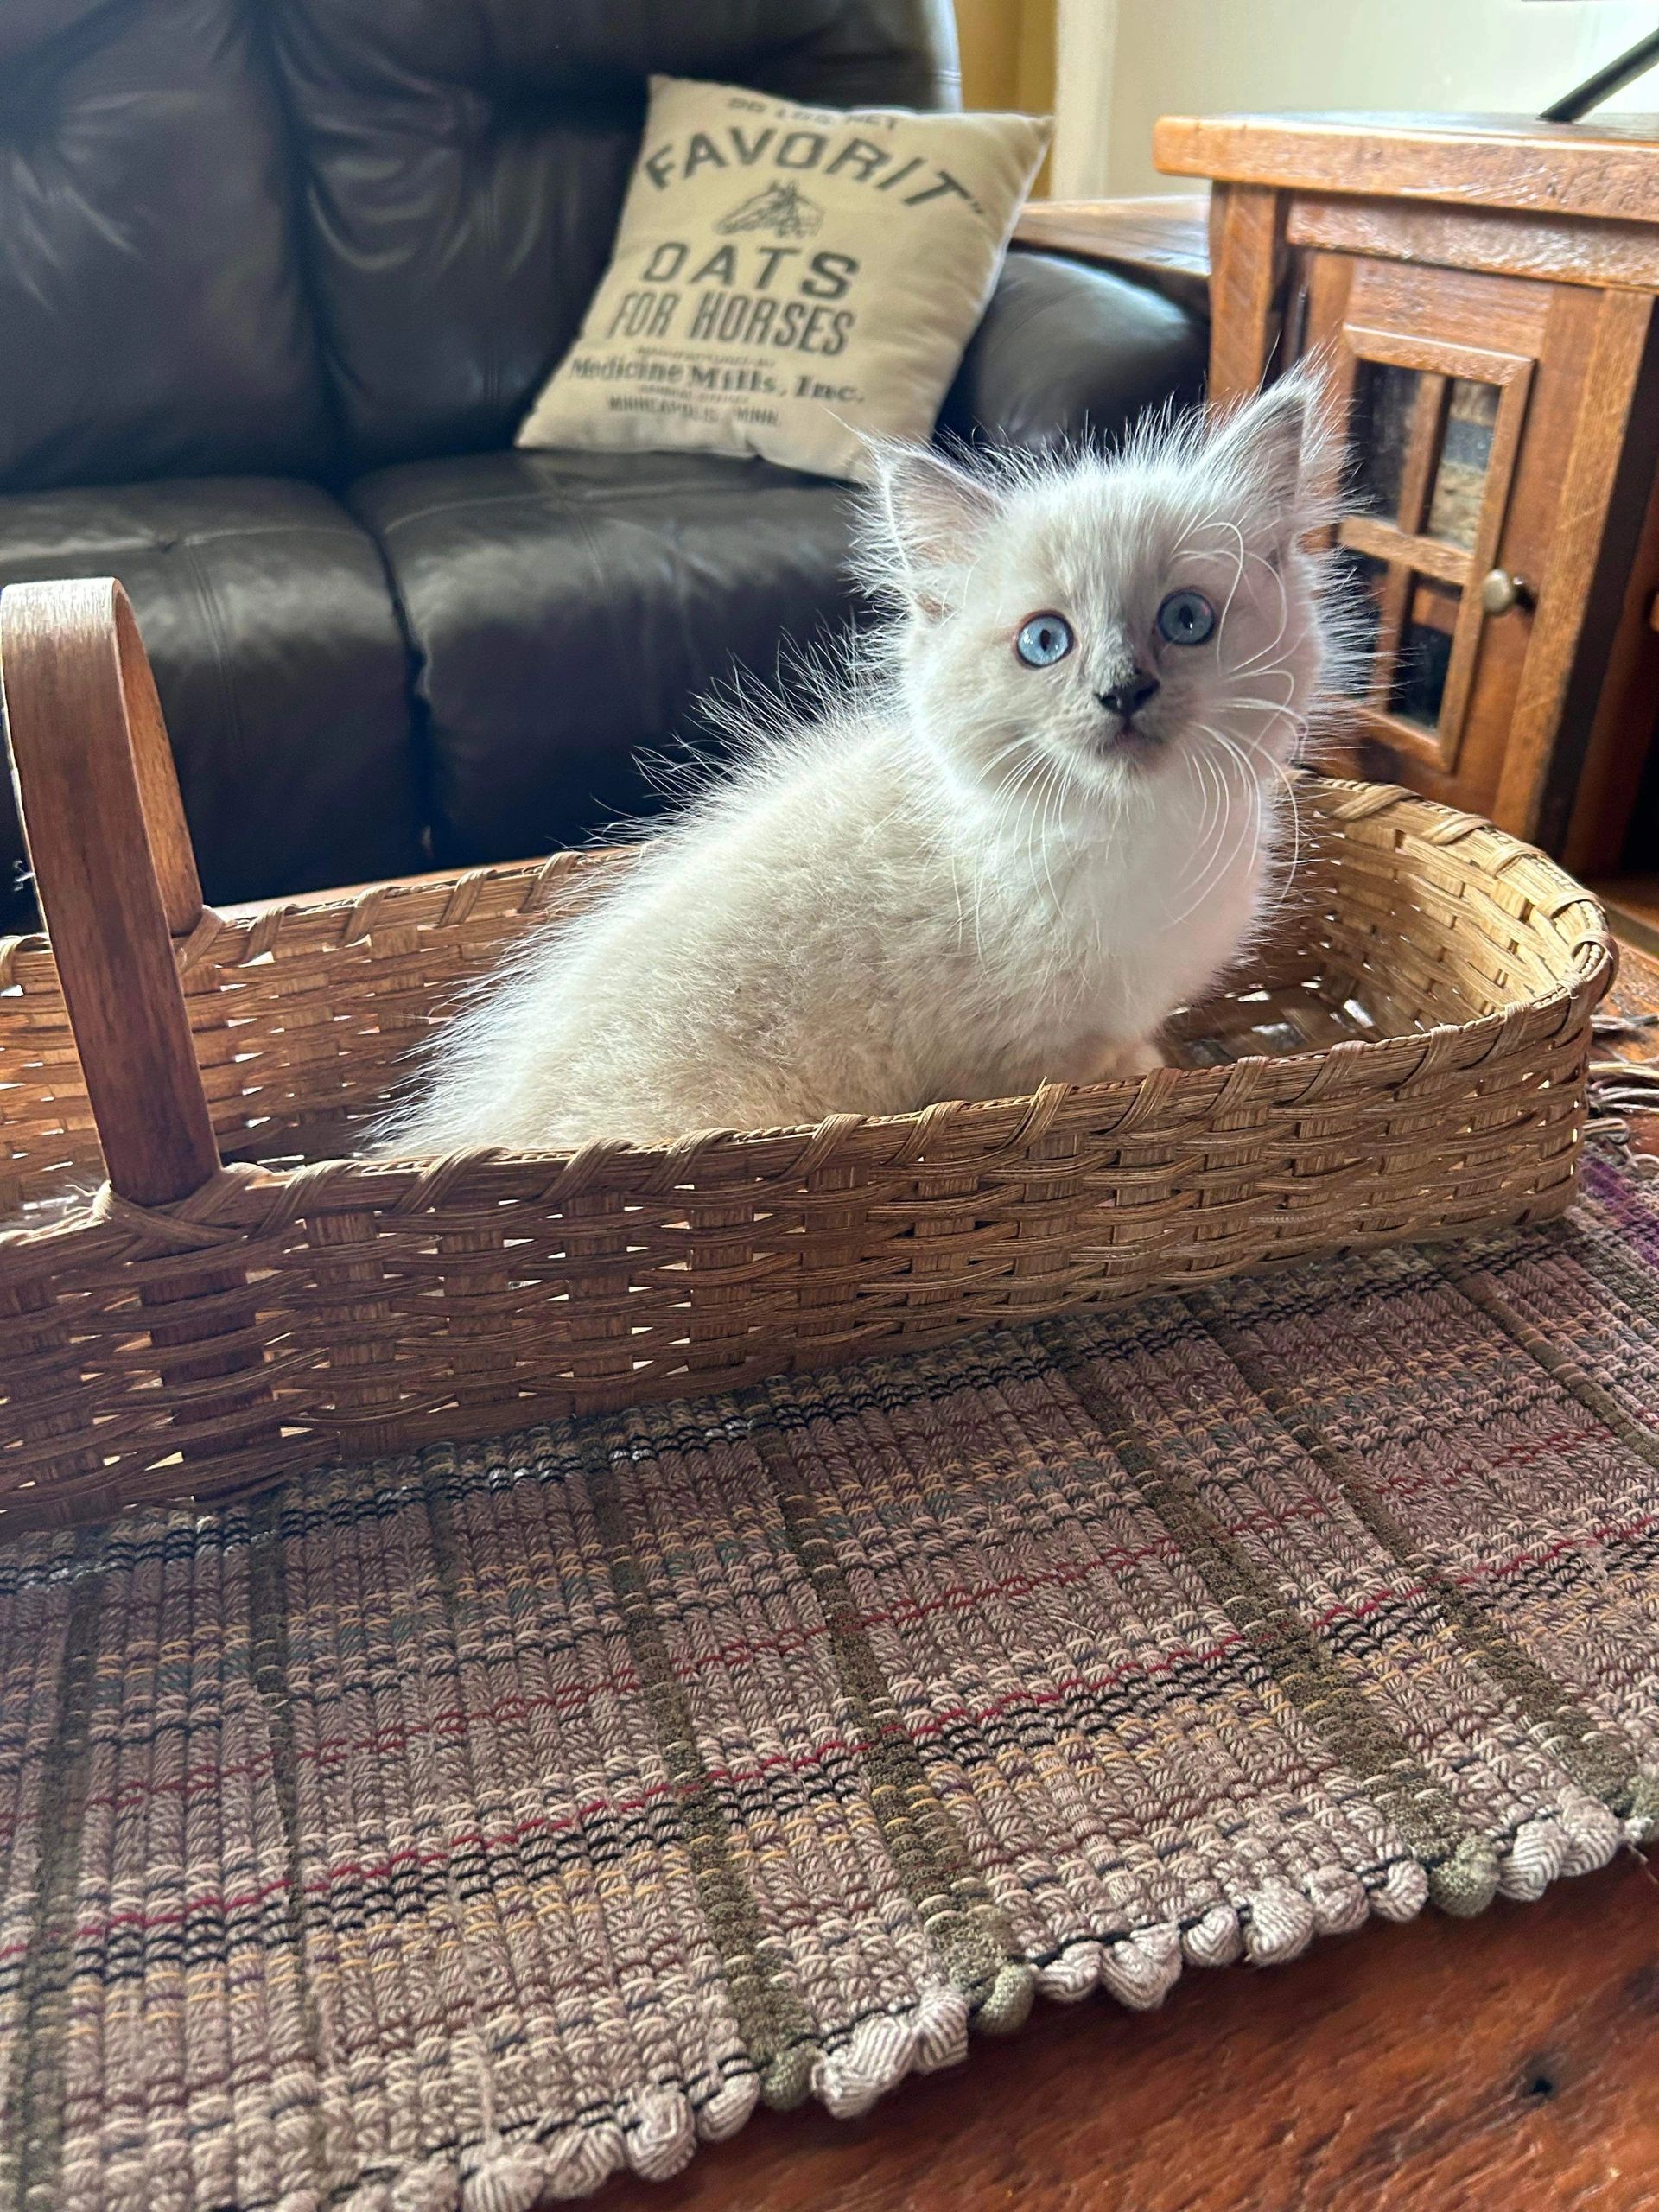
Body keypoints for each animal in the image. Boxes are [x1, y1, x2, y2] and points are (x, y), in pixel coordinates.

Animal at [382, 373, 1344, 1159]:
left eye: (1186, 620)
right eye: (1045, 642)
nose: (1123, 693)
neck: (1130, 830)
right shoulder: (1016, 1051)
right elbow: (1082, 1070)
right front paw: (1143, 1072)